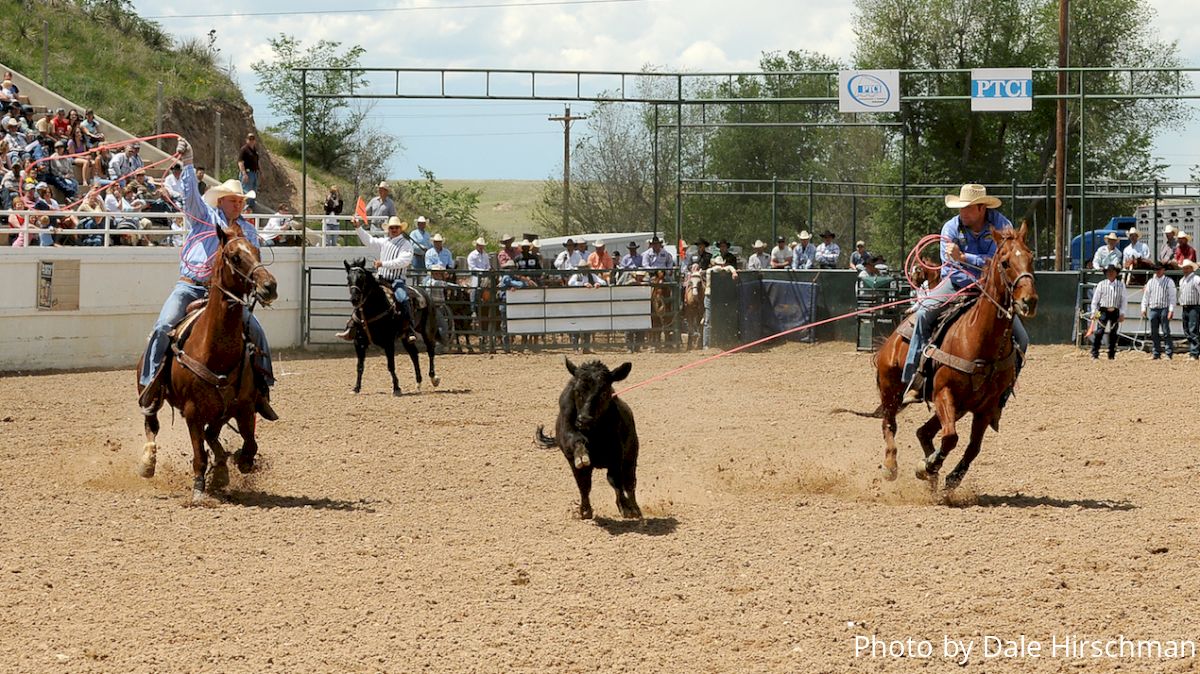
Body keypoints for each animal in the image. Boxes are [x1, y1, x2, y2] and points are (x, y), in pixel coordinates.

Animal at [136, 225, 278, 498]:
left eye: (257, 252)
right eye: (235, 257)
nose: (270, 286)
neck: (215, 351)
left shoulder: (243, 406)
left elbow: (250, 444)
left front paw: (236, 464)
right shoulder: (193, 412)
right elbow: (199, 454)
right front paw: (200, 489)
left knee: (211, 434)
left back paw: (222, 464)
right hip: (150, 391)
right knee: (152, 423)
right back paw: (147, 462)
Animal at [343, 256, 441, 393]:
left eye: (361, 278)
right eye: (348, 278)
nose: (355, 299)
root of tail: (424, 293)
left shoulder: (388, 342)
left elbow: (391, 365)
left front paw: (396, 388)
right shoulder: (359, 342)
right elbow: (360, 366)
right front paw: (356, 388)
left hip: (428, 330)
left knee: (430, 351)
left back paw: (434, 378)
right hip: (406, 337)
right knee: (414, 355)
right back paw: (418, 382)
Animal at [540, 357, 643, 520]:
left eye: (604, 392)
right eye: (577, 391)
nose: (584, 419)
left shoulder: (616, 455)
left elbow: (616, 481)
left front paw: (626, 507)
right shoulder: (571, 453)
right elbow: (583, 483)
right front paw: (585, 510)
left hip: (631, 456)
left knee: (629, 482)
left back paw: (635, 508)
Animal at [878, 223, 1036, 491]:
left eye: (1031, 258)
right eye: (1005, 262)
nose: (1029, 301)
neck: (978, 339)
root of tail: (891, 340)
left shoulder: (986, 407)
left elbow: (972, 447)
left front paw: (947, 476)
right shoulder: (944, 392)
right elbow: (951, 437)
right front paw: (928, 465)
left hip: (960, 406)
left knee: (923, 432)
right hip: (891, 388)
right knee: (889, 422)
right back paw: (891, 465)